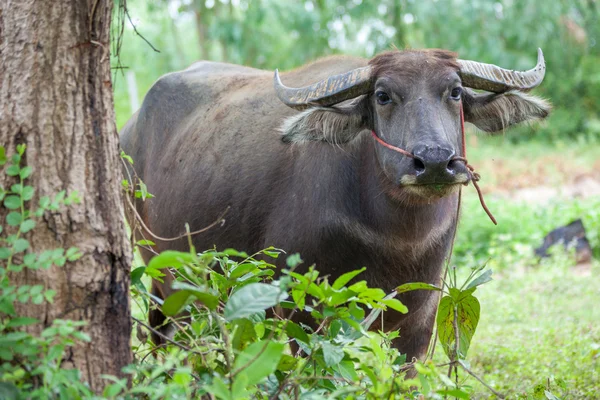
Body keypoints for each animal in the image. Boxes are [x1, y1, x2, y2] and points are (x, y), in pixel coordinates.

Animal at [119, 48, 552, 360]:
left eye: (456, 92)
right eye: (382, 96)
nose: (433, 161)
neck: (395, 237)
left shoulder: (421, 315)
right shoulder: (302, 310)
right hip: (164, 273)